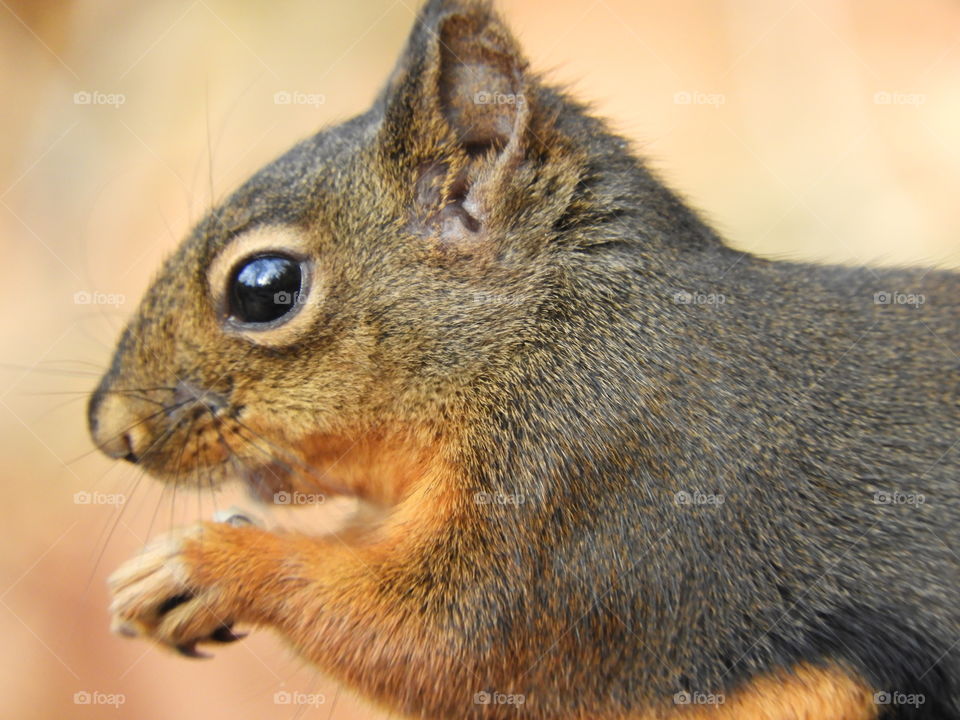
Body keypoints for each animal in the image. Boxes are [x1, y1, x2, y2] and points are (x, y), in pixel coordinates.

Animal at [88, 1, 959, 718]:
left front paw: (215, 563)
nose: (109, 430)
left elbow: (442, 639)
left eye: (265, 288)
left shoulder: (590, 490)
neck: (553, 342)